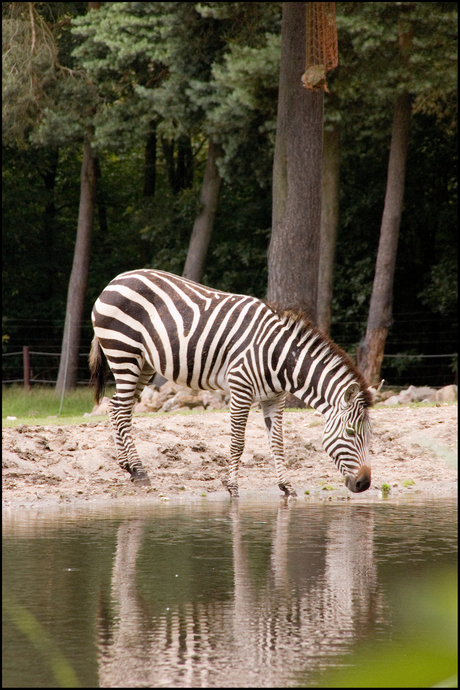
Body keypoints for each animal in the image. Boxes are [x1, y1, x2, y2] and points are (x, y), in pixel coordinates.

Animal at [90, 268, 374, 494]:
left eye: (370, 435)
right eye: (350, 433)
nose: (364, 484)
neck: (279, 357)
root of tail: (116, 280)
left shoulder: (275, 398)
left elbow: (278, 443)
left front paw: (286, 487)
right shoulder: (240, 389)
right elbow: (238, 443)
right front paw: (233, 487)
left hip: (144, 363)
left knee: (117, 407)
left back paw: (127, 466)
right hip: (124, 354)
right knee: (122, 411)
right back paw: (139, 471)